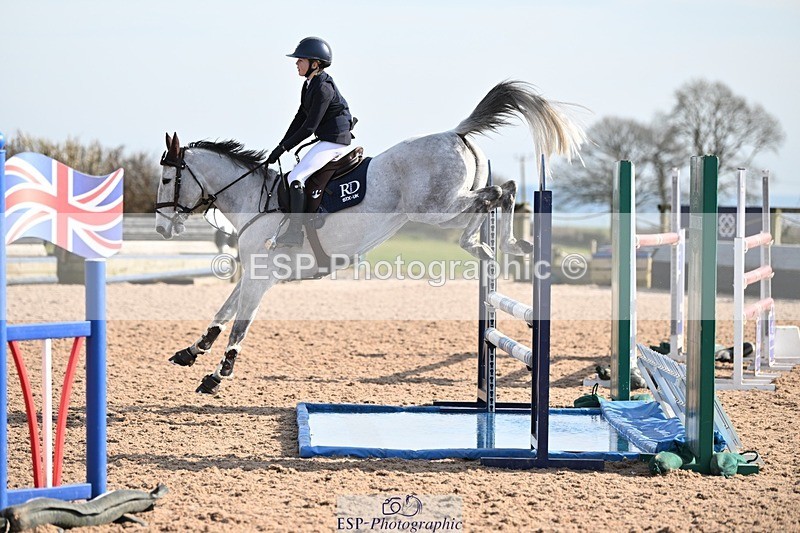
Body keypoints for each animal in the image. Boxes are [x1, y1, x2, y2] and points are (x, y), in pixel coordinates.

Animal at [155, 80, 585, 394]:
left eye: (165, 178)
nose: (161, 227)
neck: (253, 200)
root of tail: (455, 132)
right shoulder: (250, 275)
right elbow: (222, 313)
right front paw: (191, 351)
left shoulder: (261, 279)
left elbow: (240, 324)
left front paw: (217, 374)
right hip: (446, 206)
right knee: (497, 194)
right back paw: (492, 246)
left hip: (436, 208)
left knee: (499, 192)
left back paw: (493, 245)